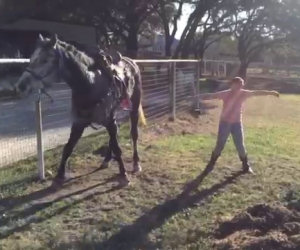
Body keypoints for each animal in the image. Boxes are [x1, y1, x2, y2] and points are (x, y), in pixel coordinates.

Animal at [15, 34, 146, 185]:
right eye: (31, 58)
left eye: (45, 60)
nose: (20, 86)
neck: (90, 84)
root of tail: (131, 62)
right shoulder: (79, 122)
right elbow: (68, 148)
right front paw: (59, 175)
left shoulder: (108, 120)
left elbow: (118, 148)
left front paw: (123, 174)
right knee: (113, 137)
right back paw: (106, 160)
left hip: (134, 107)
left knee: (134, 134)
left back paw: (136, 163)